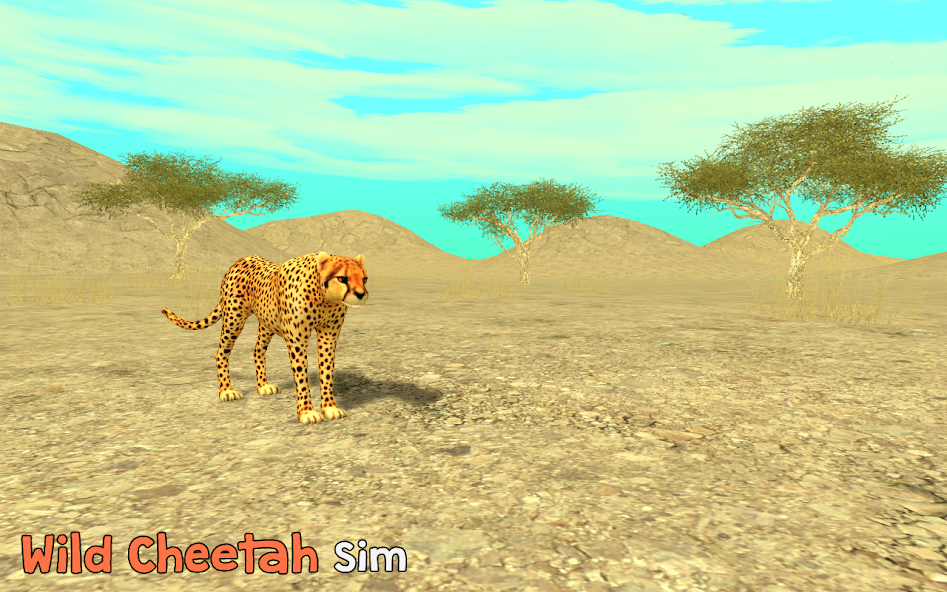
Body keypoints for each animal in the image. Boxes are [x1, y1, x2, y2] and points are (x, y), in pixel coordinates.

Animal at [160, 251, 368, 424]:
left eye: (365, 279)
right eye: (342, 278)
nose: (361, 294)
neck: (324, 300)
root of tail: (239, 260)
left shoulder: (328, 336)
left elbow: (326, 372)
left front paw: (330, 408)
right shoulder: (297, 340)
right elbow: (302, 376)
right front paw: (307, 412)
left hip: (267, 323)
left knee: (257, 350)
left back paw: (263, 386)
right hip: (234, 320)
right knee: (221, 352)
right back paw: (227, 391)